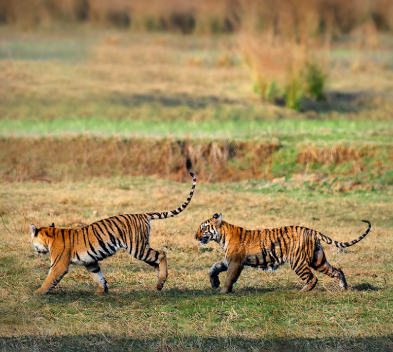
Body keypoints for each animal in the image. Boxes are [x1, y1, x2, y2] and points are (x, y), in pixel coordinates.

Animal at [30, 172, 196, 296]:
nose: (35, 250)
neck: (50, 236)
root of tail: (141, 214)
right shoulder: (90, 261)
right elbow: (98, 276)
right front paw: (102, 291)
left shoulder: (59, 264)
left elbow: (50, 278)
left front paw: (37, 293)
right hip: (142, 249)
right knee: (156, 262)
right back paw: (159, 283)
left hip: (138, 248)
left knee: (161, 254)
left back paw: (161, 281)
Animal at [195, 214, 370, 294]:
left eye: (203, 228)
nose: (195, 236)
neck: (222, 236)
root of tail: (312, 230)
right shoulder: (230, 260)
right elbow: (214, 267)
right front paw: (214, 282)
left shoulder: (236, 262)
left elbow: (229, 277)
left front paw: (223, 291)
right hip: (318, 259)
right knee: (337, 270)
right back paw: (344, 287)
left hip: (298, 261)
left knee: (313, 278)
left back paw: (302, 291)